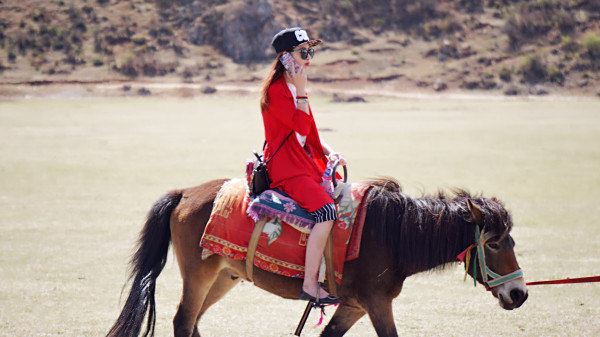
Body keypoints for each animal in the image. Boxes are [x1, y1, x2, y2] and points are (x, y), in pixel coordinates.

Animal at [105, 177, 528, 334]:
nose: (519, 294)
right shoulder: (376, 303)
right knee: (182, 320)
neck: (392, 235)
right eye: (493, 242)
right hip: (199, 274)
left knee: (192, 321)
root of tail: (185, 192)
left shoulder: (354, 305)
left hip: (223, 277)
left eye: (510, 239)